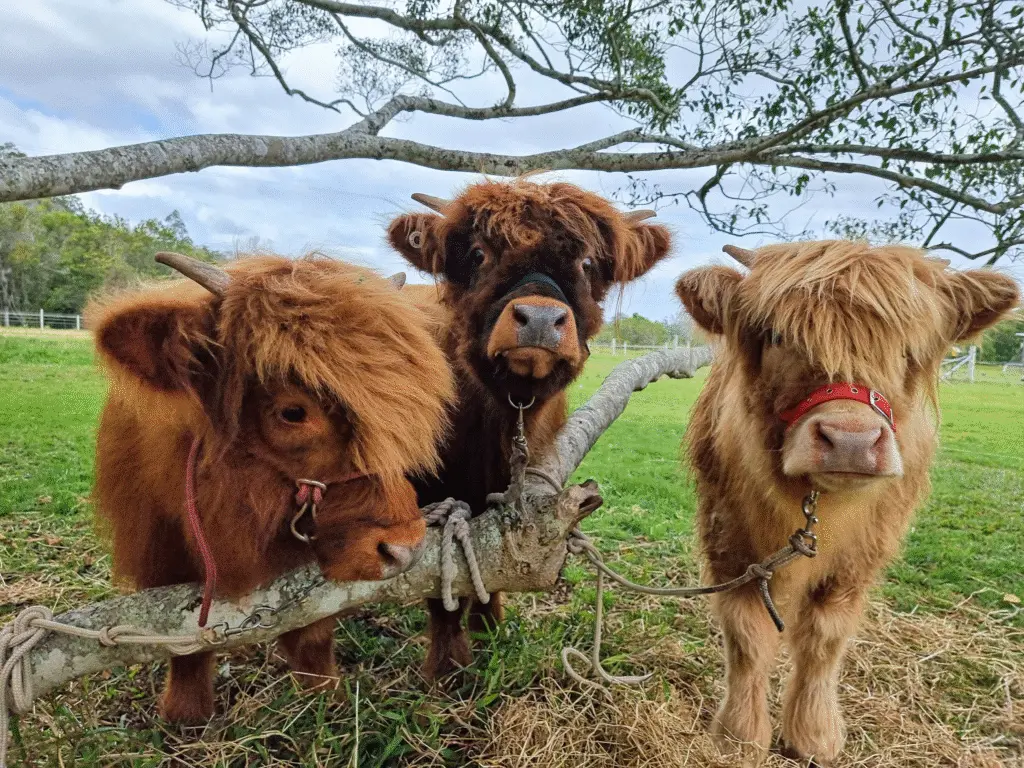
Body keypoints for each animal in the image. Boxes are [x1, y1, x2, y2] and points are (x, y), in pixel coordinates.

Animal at [87, 252, 455, 723]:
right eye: (293, 412)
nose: (404, 549)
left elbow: (312, 633)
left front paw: (325, 698)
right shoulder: (158, 550)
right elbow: (184, 644)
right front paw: (186, 716)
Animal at [386, 177, 672, 679]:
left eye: (587, 262)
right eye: (479, 253)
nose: (539, 319)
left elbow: (492, 567)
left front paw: (490, 626)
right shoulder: (431, 495)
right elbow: (441, 587)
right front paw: (448, 668)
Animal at [674, 241, 1019, 765]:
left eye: (908, 349)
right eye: (777, 335)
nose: (851, 441)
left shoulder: (858, 560)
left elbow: (825, 639)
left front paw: (814, 736)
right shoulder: (732, 545)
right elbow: (748, 639)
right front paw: (739, 738)